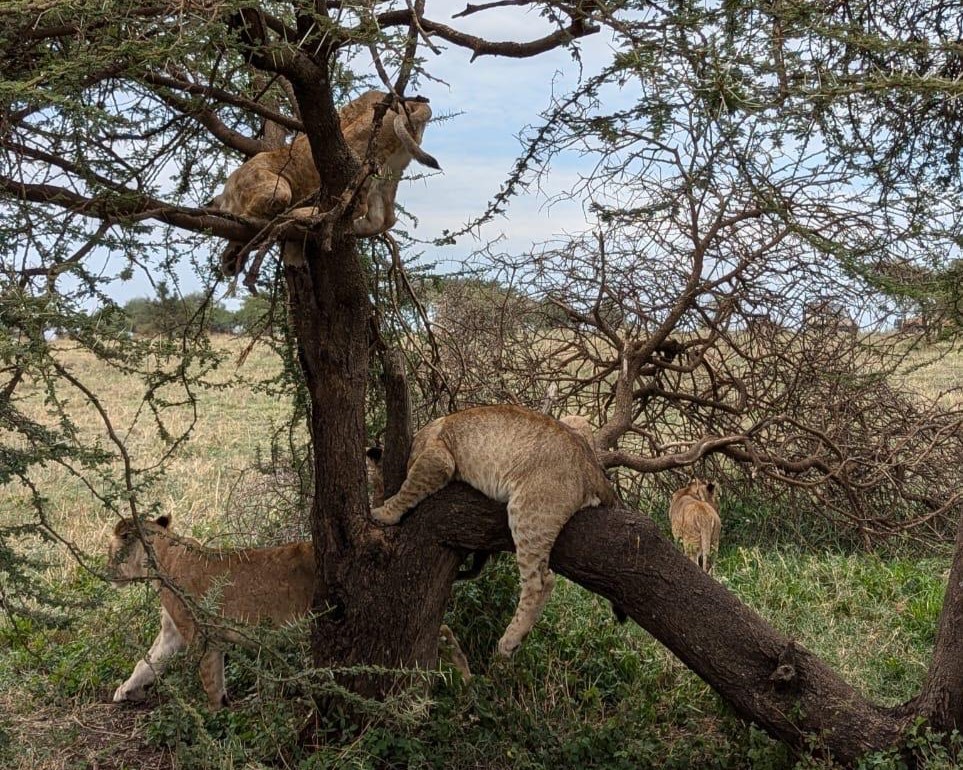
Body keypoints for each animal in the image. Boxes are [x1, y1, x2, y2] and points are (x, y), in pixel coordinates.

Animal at [213, 90, 439, 276]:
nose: (229, 267)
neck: (229, 195)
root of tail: (409, 102)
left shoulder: (268, 185)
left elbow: (269, 207)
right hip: (392, 168)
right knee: (385, 218)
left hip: (353, 147)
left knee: (357, 205)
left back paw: (305, 215)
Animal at [370, 404, 618, 657]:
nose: (374, 497)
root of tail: (591, 467)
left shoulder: (438, 458)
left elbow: (408, 489)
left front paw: (383, 513)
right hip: (575, 421)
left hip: (528, 514)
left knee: (541, 582)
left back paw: (510, 640)